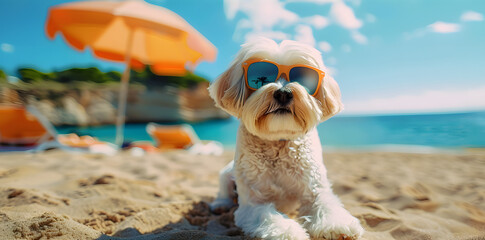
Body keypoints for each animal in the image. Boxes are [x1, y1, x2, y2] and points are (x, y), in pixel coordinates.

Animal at [208, 38, 364, 239]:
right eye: (262, 76)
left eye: (303, 77)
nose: (283, 93)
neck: (278, 140)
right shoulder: (252, 203)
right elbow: (268, 216)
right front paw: (287, 232)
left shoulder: (314, 187)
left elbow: (325, 203)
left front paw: (336, 225)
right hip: (227, 174)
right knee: (224, 192)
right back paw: (220, 204)